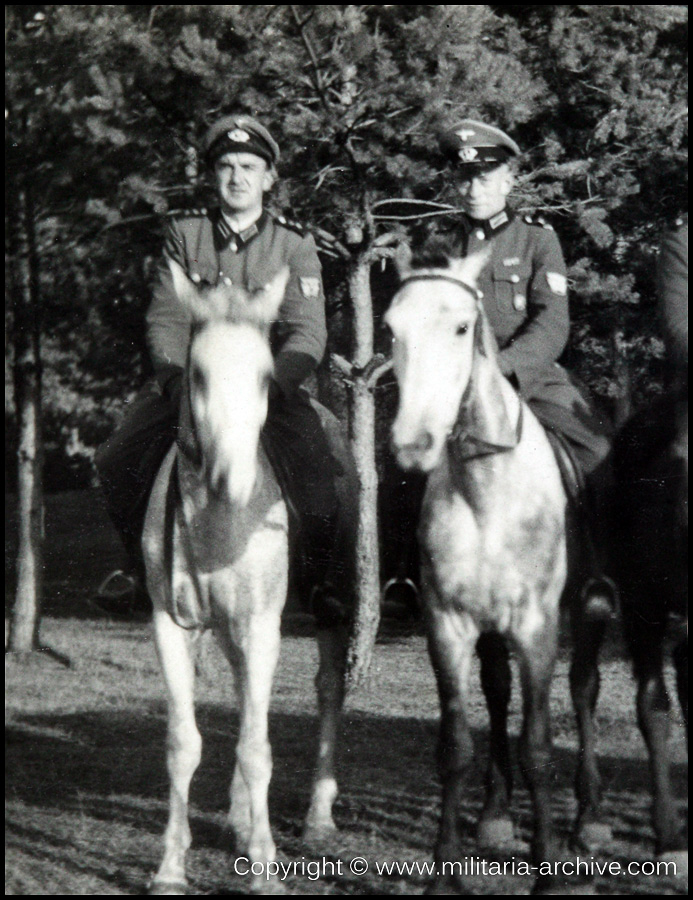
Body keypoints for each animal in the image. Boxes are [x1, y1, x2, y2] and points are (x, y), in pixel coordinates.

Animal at [141, 260, 346, 892]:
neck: (219, 525)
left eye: (263, 378)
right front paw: (170, 865)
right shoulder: (171, 626)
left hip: (326, 609)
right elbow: (183, 745)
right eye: (198, 375)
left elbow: (258, 749)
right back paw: (238, 817)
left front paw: (264, 866)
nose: (230, 480)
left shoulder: (261, 627)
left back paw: (317, 816)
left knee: (328, 689)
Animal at [386, 251, 608, 892]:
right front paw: (444, 870)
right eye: (391, 329)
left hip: (591, 610)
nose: (413, 445)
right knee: (498, 690)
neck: (486, 489)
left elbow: (539, 747)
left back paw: (589, 818)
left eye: (463, 328)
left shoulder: (537, 629)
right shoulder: (447, 626)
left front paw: (548, 870)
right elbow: (455, 746)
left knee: (584, 689)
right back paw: (495, 815)